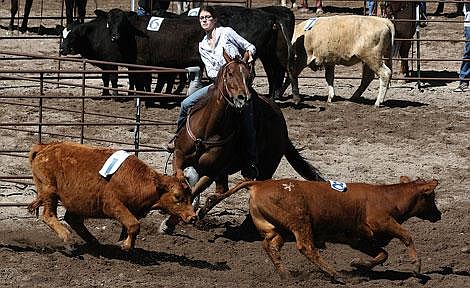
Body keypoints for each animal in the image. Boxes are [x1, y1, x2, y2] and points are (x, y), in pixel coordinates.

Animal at [28, 141, 196, 250]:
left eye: (190, 195)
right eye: (177, 196)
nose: (193, 217)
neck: (139, 181)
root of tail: (44, 147)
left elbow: (128, 227)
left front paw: (124, 242)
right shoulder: (112, 205)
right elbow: (134, 225)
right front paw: (126, 245)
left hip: (77, 201)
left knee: (73, 219)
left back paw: (94, 243)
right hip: (49, 190)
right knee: (49, 215)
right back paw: (66, 236)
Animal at [162, 51, 324, 232]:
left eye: (249, 75)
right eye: (230, 73)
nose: (243, 98)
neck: (207, 131)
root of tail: (282, 126)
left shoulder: (211, 171)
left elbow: (194, 190)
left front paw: (169, 222)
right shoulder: (179, 156)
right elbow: (182, 180)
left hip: (265, 168)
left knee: (246, 187)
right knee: (223, 189)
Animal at [201, 176, 440, 284]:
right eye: (431, 197)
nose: (439, 215)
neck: (389, 198)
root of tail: (259, 183)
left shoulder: (361, 239)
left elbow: (382, 254)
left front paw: (358, 265)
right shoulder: (381, 222)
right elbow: (406, 236)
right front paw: (416, 267)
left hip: (276, 230)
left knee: (270, 246)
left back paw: (287, 275)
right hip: (301, 221)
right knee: (306, 247)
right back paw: (336, 275)